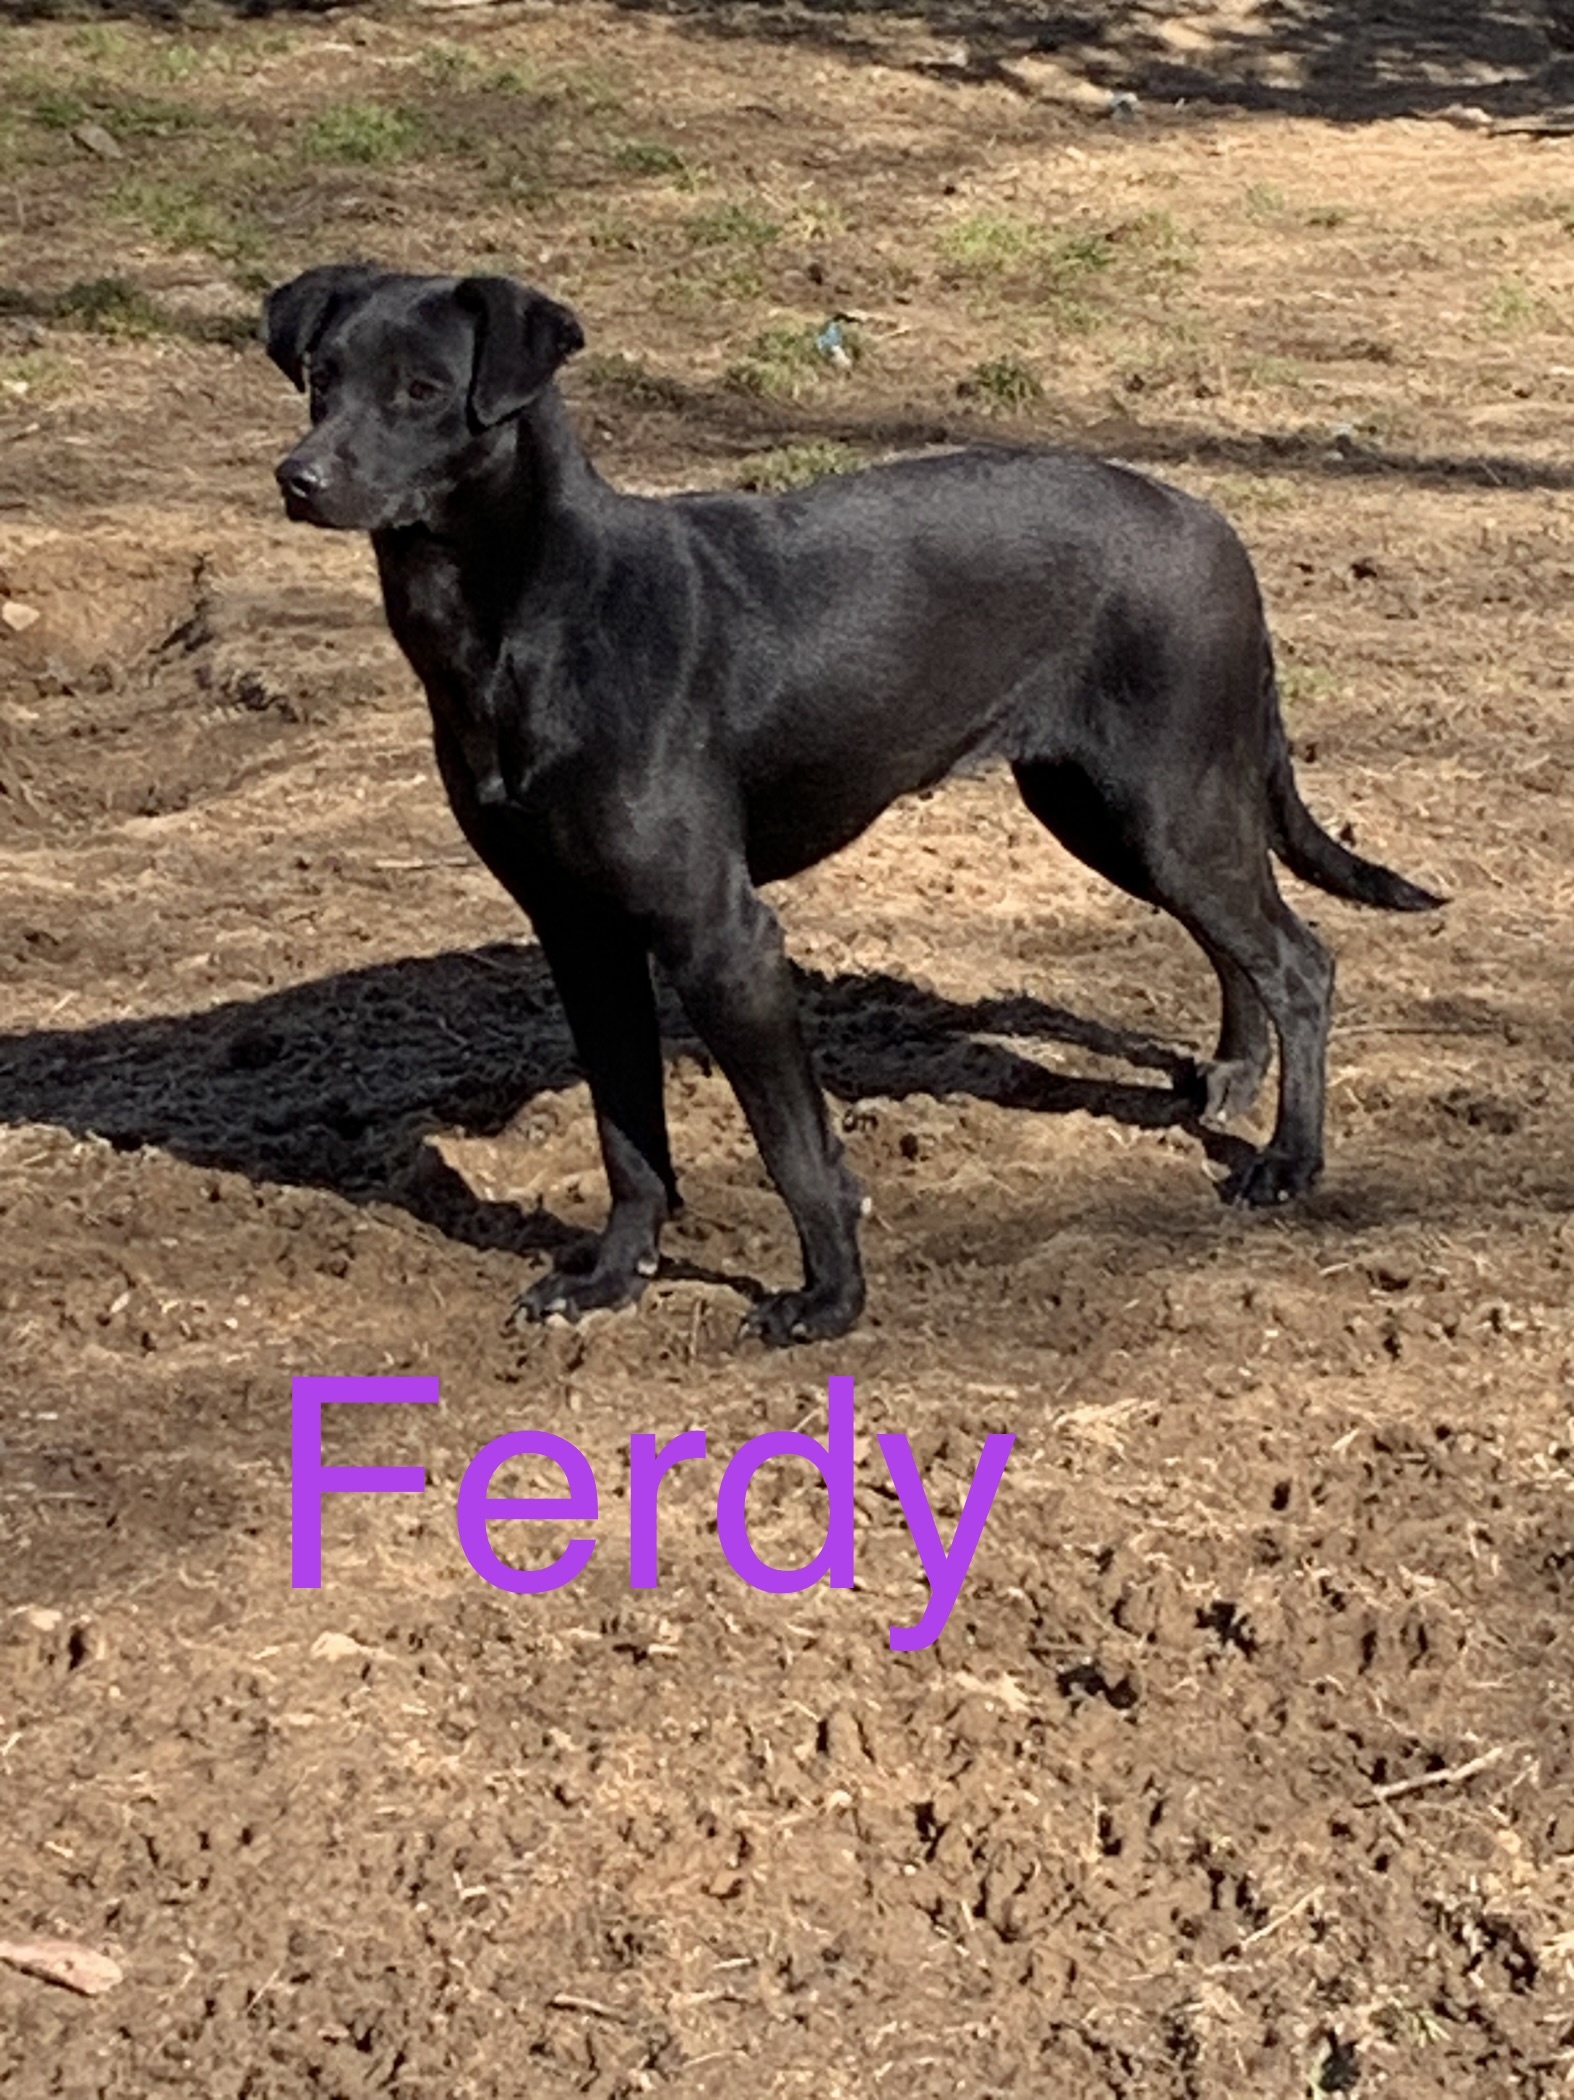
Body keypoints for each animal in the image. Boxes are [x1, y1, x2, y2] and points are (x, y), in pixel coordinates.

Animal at [265, 266, 1452, 1344]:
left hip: (1164, 809)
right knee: (1240, 947)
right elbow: (626, 1136)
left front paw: (829, 1301)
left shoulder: (723, 937)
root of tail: (1212, 523)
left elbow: (795, 1147)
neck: (532, 614)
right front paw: (610, 1280)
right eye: (321, 378)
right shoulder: (581, 935)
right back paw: (1233, 1081)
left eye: (423, 390)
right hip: (1115, 815)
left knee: (1299, 961)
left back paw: (1289, 1162)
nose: (297, 478)